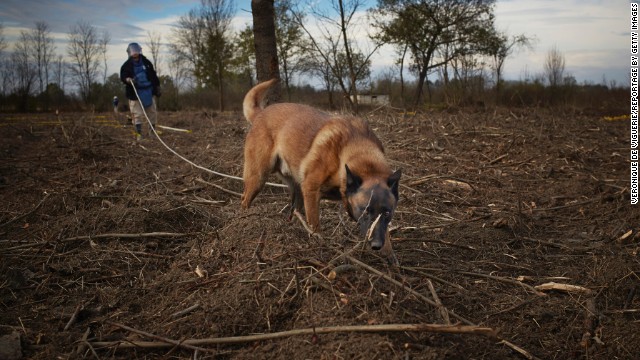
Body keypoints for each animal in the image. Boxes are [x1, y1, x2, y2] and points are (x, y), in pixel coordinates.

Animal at [240, 78, 400, 258]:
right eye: (365, 211)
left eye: (387, 213)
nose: (376, 244)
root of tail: (260, 113)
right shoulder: (311, 191)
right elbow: (315, 224)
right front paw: (320, 244)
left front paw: (389, 256)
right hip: (258, 178)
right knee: (245, 199)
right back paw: (245, 220)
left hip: (297, 191)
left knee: (293, 212)